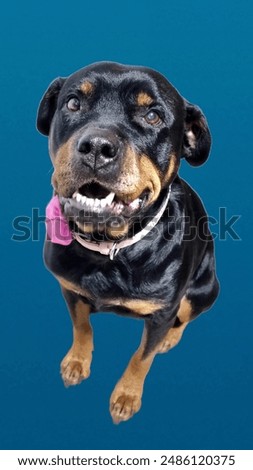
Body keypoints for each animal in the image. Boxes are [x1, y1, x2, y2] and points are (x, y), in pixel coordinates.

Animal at [36, 60, 219, 424]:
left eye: (153, 116)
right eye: (73, 103)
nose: (97, 146)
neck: (111, 250)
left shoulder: (162, 313)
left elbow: (142, 357)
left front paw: (126, 396)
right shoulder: (69, 287)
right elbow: (81, 327)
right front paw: (77, 361)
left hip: (204, 288)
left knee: (187, 315)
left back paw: (170, 339)